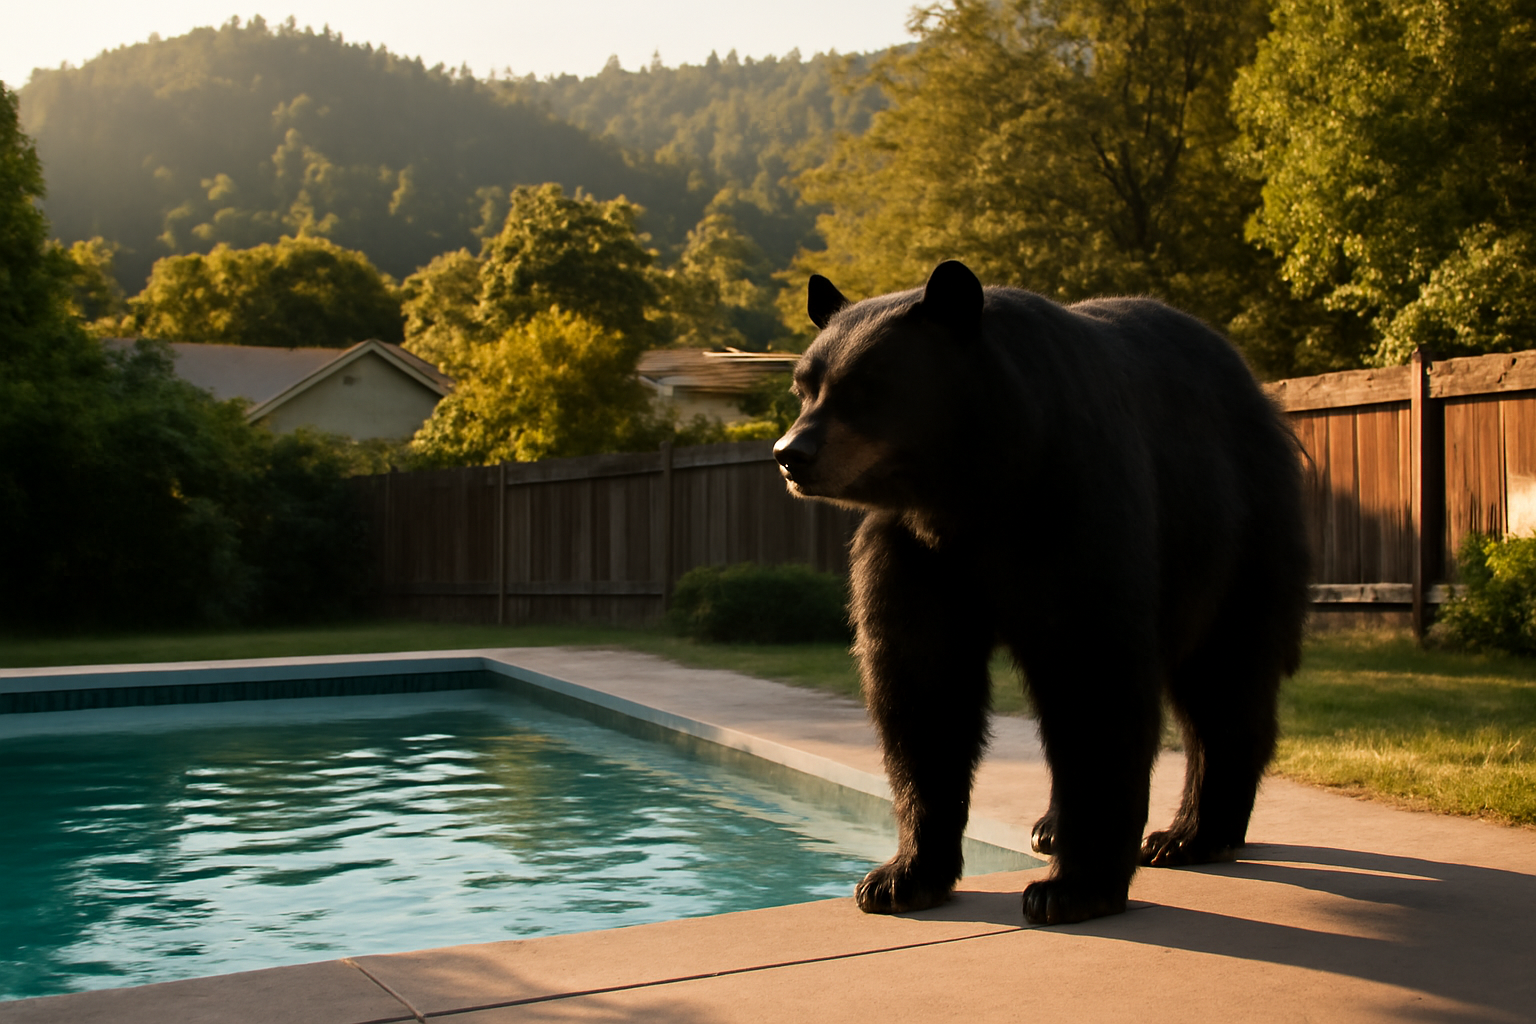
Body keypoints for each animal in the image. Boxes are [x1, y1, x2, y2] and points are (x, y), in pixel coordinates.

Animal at [772, 260, 1309, 926]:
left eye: (868, 385)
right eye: (804, 386)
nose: (790, 454)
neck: (970, 493)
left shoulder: (1074, 509)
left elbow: (1094, 677)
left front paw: (1074, 888)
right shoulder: (914, 552)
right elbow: (921, 689)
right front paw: (903, 875)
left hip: (1239, 531)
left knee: (1225, 679)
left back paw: (1191, 834)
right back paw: (1055, 826)